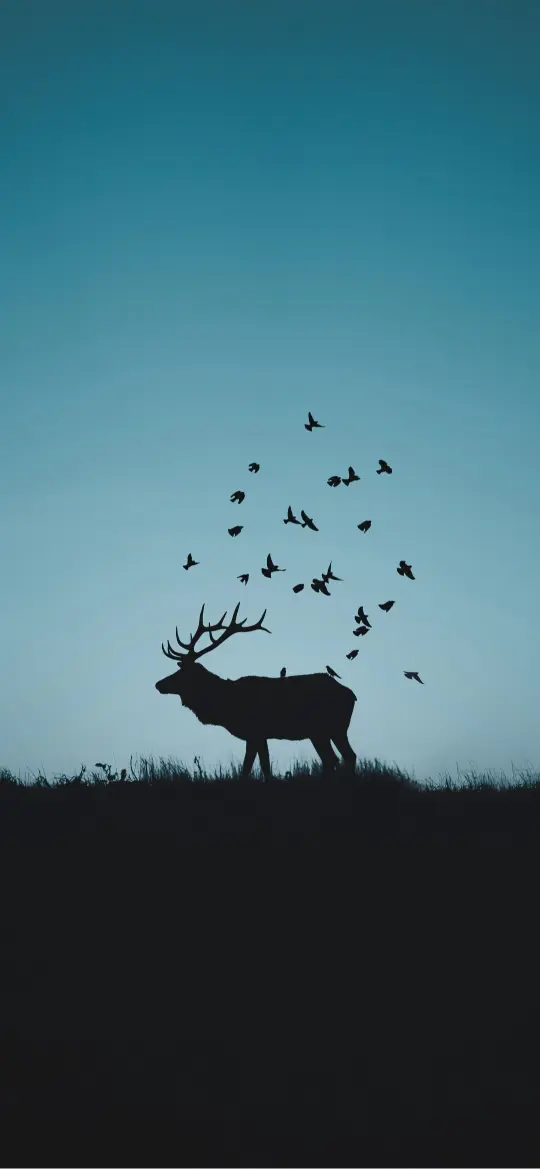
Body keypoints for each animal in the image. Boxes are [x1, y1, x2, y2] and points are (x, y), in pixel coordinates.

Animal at [155, 603, 357, 780]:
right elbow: (260, 767)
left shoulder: (255, 731)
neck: (225, 707)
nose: (158, 684)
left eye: (181, 673)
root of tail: (352, 695)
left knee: (348, 756)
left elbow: (252, 768)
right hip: (319, 732)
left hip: (336, 726)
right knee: (331, 759)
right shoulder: (258, 735)